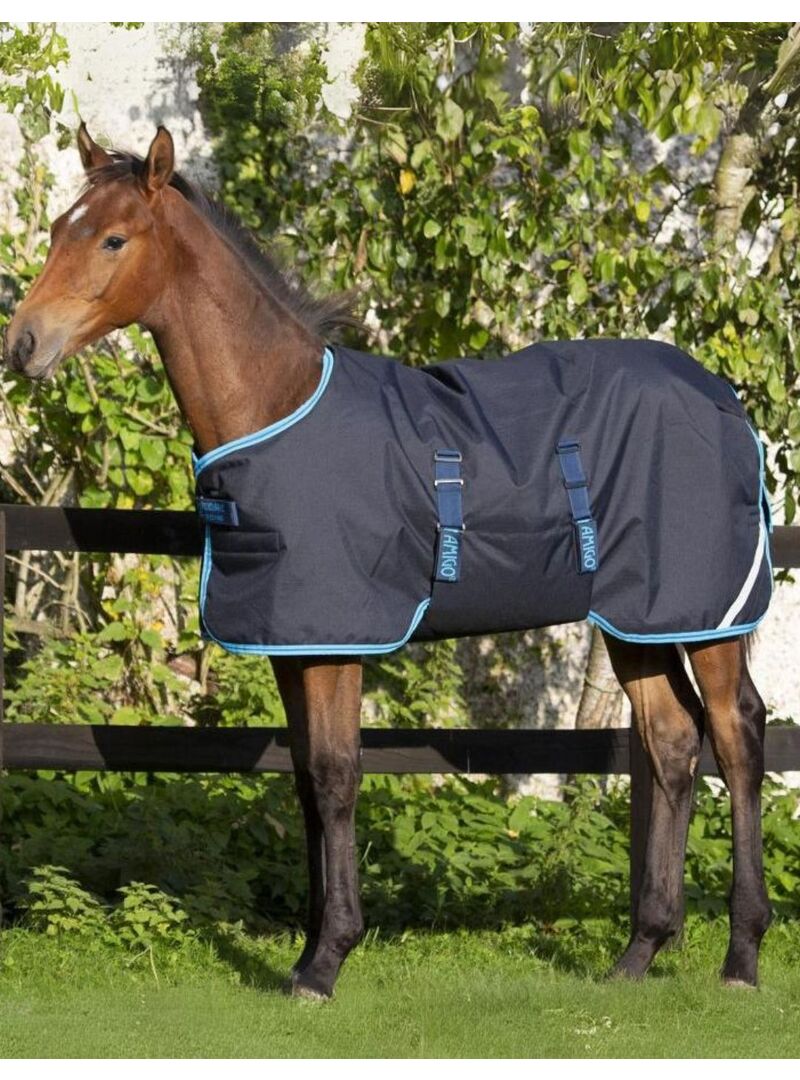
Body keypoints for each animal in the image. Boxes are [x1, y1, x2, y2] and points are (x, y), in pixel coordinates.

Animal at [3, 124, 773, 999]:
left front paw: (327, 960)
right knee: (672, 742)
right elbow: (305, 782)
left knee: (737, 736)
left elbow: (338, 776)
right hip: (637, 620)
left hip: (706, 615)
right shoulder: (294, 645)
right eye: (58, 228)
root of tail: (724, 397)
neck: (276, 405)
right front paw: (309, 949)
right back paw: (639, 951)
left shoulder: (340, 643)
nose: (22, 344)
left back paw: (741, 955)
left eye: (112, 238)